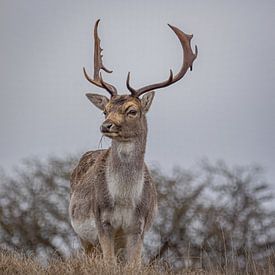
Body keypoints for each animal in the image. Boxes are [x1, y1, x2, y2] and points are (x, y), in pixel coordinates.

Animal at [69, 19, 198, 266]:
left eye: (132, 110)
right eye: (105, 110)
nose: (106, 126)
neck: (125, 200)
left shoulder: (139, 226)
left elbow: (134, 264)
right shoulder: (102, 221)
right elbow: (109, 264)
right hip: (82, 235)